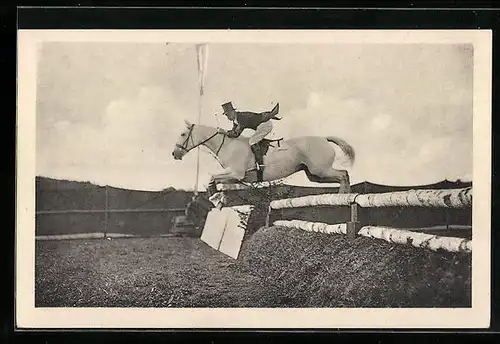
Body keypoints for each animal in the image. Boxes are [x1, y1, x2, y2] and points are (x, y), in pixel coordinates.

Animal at [172, 121, 356, 196]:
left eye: (182, 134)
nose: (174, 154)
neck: (227, 145)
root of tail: (324, 138)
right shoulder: (235, 177)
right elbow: (215, 179)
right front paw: (215, 194)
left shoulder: (236, 174)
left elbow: (212, 177)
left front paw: (214, 195)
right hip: (314, 175)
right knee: (343, 175)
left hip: (321, 169)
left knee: (343, 174)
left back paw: (341, 197)